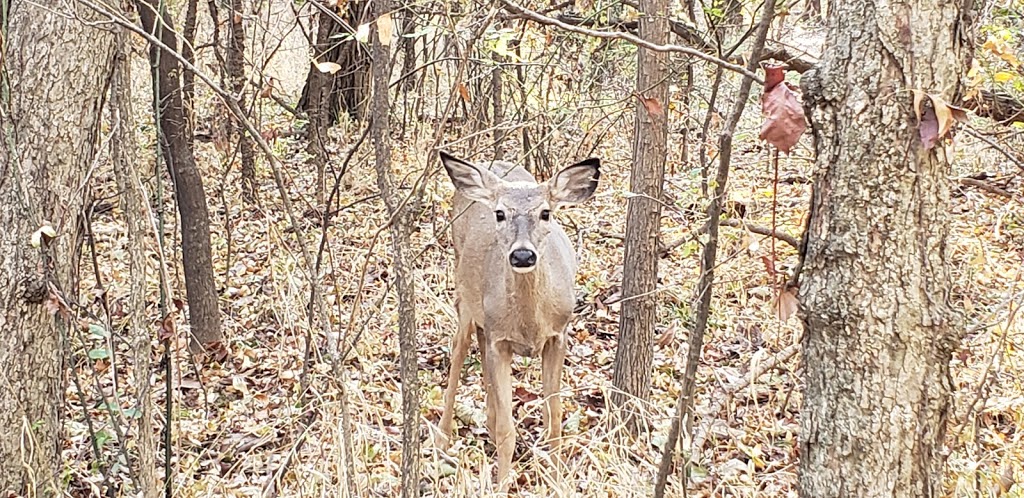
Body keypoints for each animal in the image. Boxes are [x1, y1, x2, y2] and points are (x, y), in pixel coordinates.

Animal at [434, 150, 598, 489]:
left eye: (546, 212)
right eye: (499, 213)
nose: (523, 255)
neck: (530, 324)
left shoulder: (559, 334)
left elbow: (554, 420)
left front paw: (556, 480)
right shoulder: (501, 341)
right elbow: (507, 431)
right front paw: (501, 484)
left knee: (479, 346)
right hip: (464, 293)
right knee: (459, 348)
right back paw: (442, 438)